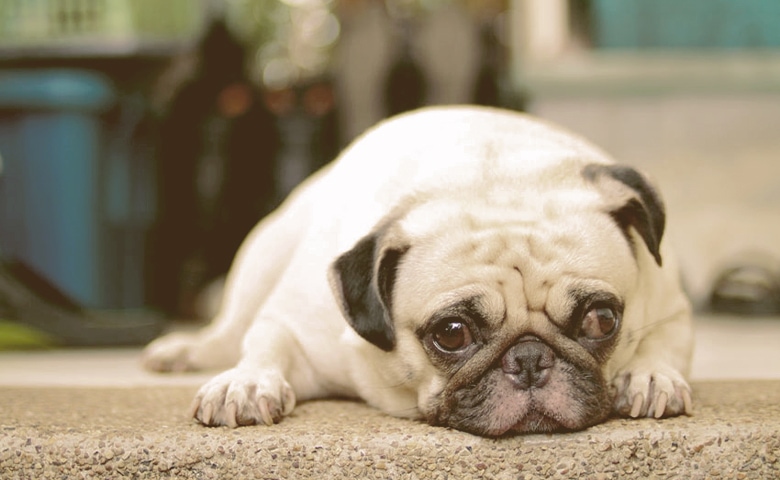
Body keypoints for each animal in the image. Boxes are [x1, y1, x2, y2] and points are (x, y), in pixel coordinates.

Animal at [143, 107, 692, 436]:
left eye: (602, 320)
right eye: (452, 333)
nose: (530, 359)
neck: (490, 176)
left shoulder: (668, 304)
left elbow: (665, 340)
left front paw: (650, 376)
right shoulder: (295, 326)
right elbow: (265, 344)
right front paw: (247, 383)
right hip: (259, 258)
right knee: (230, 329)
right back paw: (186, 351)